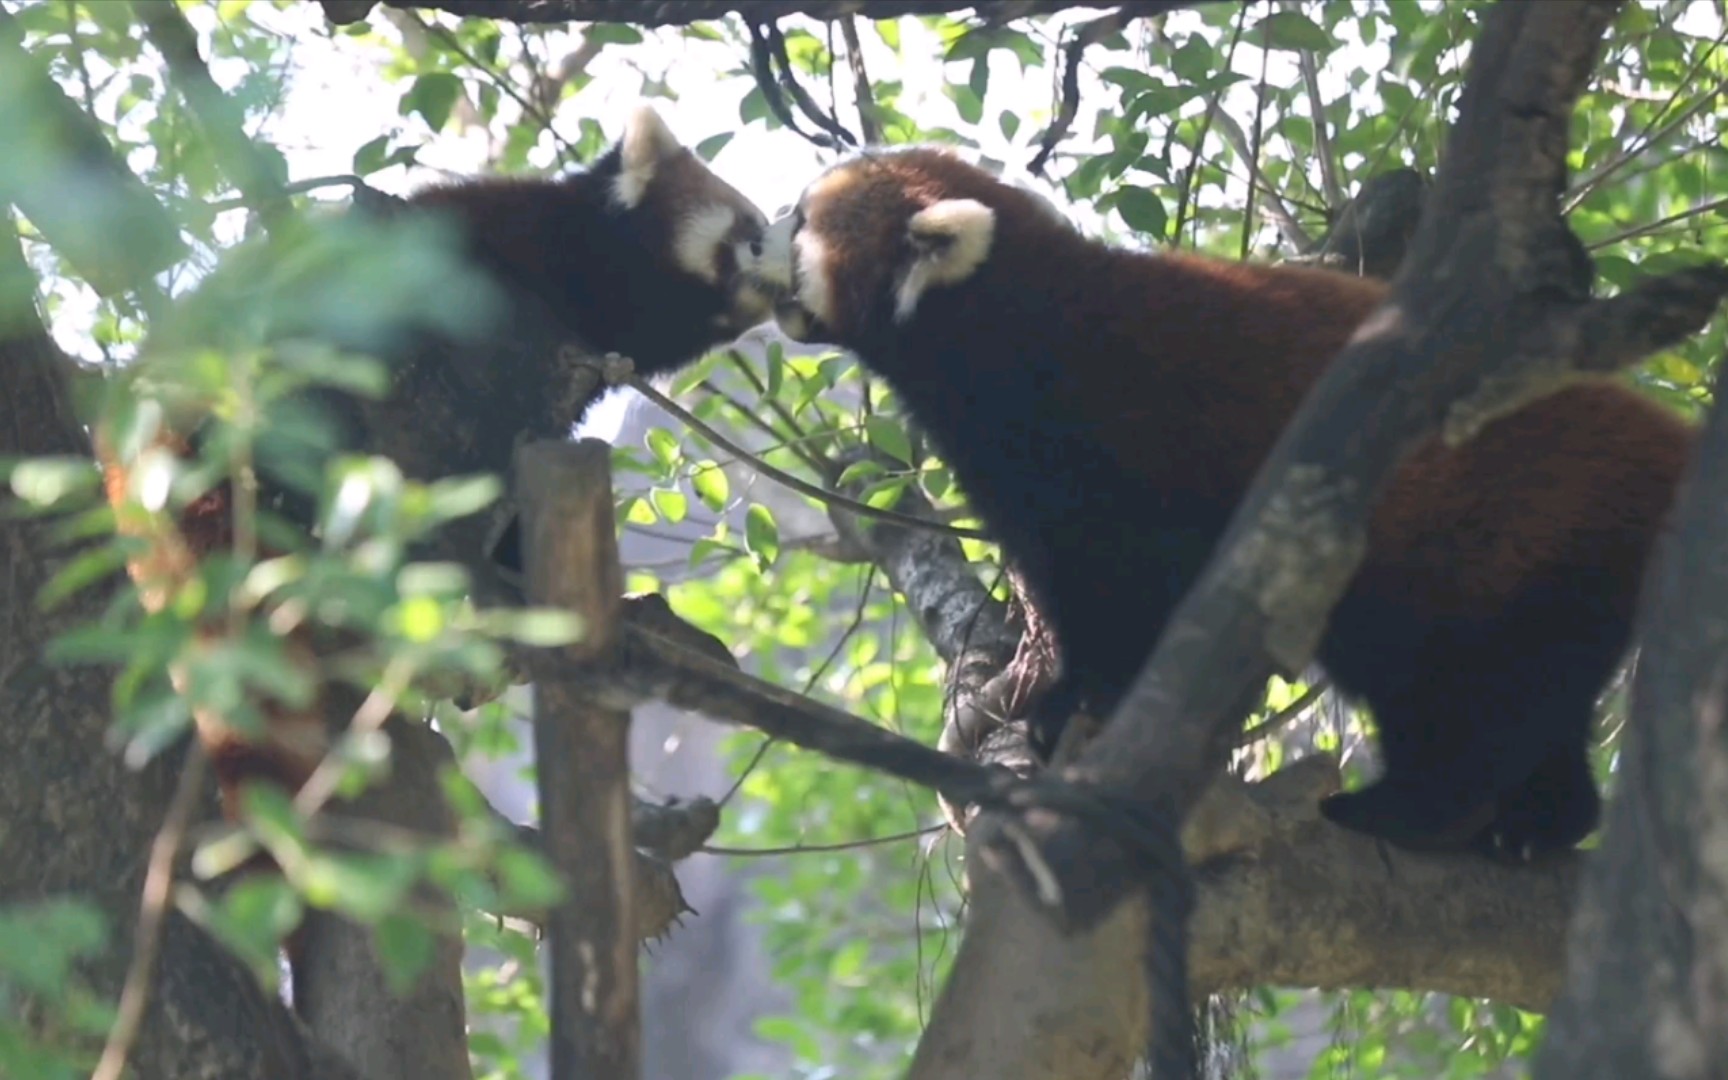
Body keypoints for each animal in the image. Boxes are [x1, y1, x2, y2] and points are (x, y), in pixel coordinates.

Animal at [760, 149, 1700, 860]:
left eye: (802, 220)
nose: (755, 227)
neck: (1016, 330)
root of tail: (1669, 441)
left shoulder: (1128, 449)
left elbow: (1134, 602)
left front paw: (1080, 707)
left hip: (1514, 535)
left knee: (1473, 699)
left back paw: (1414, 810)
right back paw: (1543, 822)